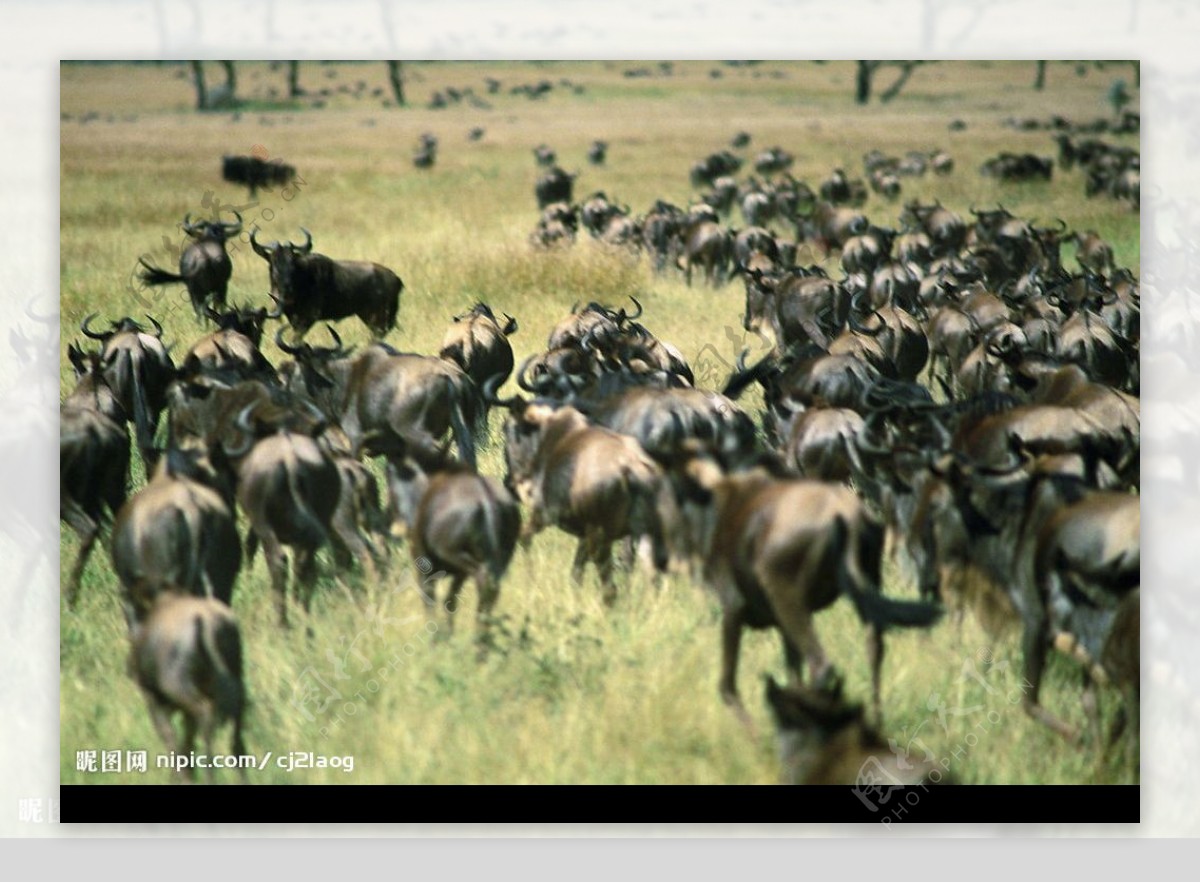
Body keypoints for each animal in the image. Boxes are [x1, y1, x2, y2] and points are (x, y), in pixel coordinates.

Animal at [127, 583, 247, 782]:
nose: (130, 669)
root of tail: (210, 627)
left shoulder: (154, 699)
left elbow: (170, 737)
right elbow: (187, 738)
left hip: (181, 689)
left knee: (206, 719)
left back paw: (208, 776)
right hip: (236, 683)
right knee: (236, 737)